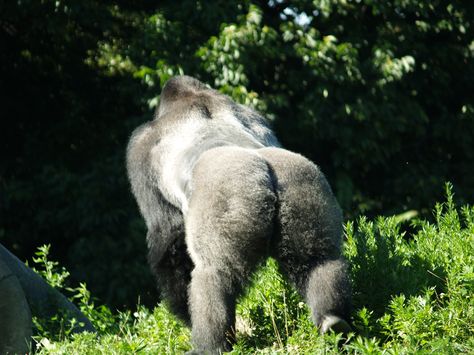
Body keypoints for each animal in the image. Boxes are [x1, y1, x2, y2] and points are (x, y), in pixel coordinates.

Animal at [128, 76, 350, 354]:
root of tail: (264, 169)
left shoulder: (140, 146)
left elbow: (168, 237)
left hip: (230, 193)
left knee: (214, 274)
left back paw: (209, 345)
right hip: (301, 181)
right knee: (318, 259)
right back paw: (333, 321)